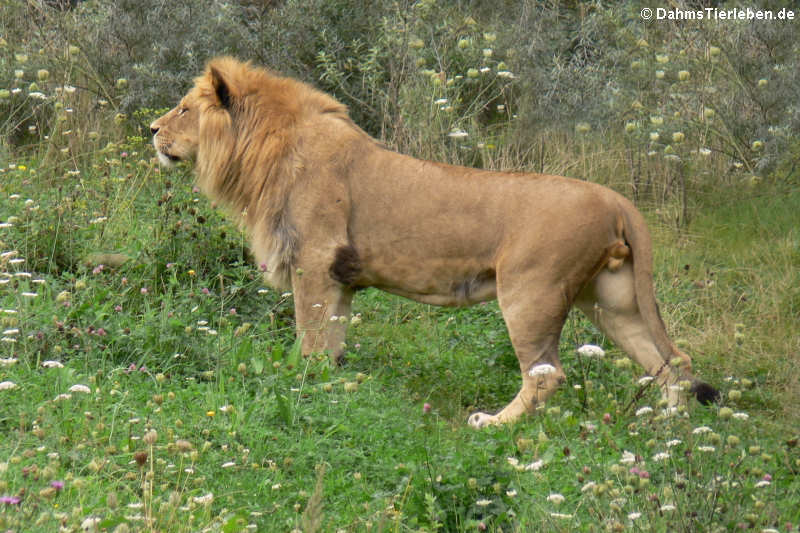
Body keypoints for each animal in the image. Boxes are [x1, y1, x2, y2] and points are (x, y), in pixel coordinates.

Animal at [152, 56, 720, 426]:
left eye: (183, 109)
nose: (152, 129)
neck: (265, 148)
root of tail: (616, 198)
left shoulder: (314, 261)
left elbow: (309, 338)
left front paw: (299, 387)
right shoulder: (338, 277)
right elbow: (332, 343)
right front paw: (331, 389)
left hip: (531, 293)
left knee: (547, 375)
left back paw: (496, 424)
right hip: (612, 300)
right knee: (672, 362)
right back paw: (667, 433)